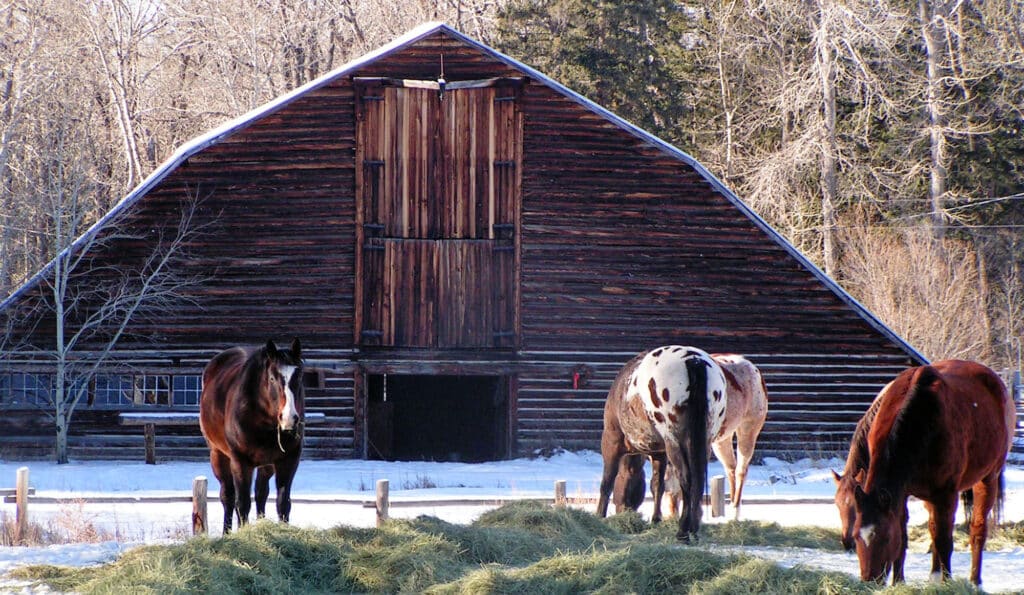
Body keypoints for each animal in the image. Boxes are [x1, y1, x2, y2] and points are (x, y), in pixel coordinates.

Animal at [199, 338, 306, 534]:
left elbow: (283, 503)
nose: (289, 418)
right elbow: (242, 504)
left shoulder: (288, 460)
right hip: (218, 455)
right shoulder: (241, 462)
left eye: (299, 376)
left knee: (261, 493)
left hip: (267, 464)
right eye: (272, 378)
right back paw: (226, 533)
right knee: (228, 496)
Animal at [596, 346, 727, 542]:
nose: (624, 511)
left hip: (674, 442)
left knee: (687, 479)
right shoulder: (660, 453)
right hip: (703, 441)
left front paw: (599, 516)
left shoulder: (612, 441)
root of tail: (693, 361)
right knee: (696, 479)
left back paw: (683, 531)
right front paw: (656, 519)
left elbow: (607, 481)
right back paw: (693, 529)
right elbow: (657, 485)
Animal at [612, 354, 768, 521]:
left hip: (748, 430)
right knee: (730, 469)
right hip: (722, 440)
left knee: (740, 471)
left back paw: (735, 513)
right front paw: (672, 515)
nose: (621, 511)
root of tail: (751, 366)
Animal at [851, 359, 1013, 586]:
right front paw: (899, 582)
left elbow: (944, 540)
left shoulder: (946, 494)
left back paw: (974, 580)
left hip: (987, 479)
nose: (869, 580)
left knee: (977, 530)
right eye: (856, 535)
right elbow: (906, 539)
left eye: (884, 537)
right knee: (933, 526)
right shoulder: (902, 494)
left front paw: (944, 581)